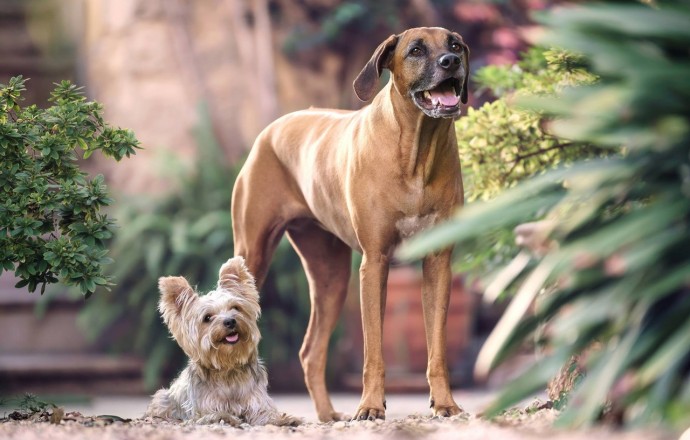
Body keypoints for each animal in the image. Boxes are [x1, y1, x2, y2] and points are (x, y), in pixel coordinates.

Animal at [145, 254, 298, 426]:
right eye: (207, 318)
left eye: (235, 308)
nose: (230, 321)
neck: (228, 366)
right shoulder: (202, 412)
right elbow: (216, 414)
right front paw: (228, 418)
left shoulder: (257, 402)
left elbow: (265, 415)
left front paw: (283, 419)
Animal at [232, 27, 468, 422]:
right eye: (416, 50)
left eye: (454, 45)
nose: (451, 62)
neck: (417, 149)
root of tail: (273, 128)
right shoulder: (374, 264)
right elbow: (373, 351)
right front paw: (370, 406)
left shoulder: (438, 263)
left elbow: (438, 348)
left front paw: (445, 403)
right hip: (253, 254)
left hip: (331, 276)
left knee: (311, 350)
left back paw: (328, 416)